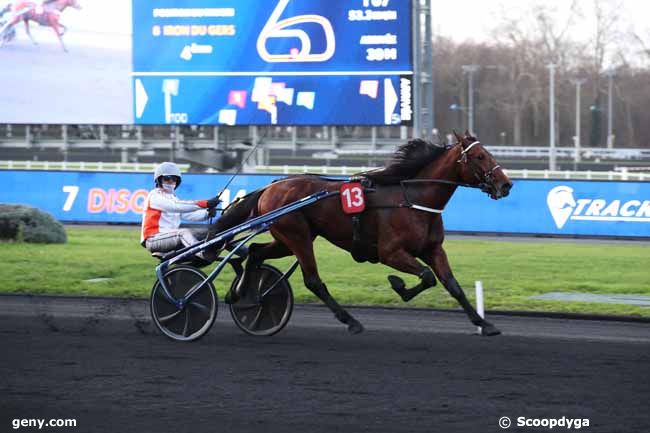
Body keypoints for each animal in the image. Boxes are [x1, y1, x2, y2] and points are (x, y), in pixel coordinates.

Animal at [211, 132, 512, 334]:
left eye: (488, 153)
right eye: (479, 156)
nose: (506, 184)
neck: (412, 198)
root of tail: (271, 186)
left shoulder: (433, 249)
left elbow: (452, 285)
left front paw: (484, 323)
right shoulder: (390, 252)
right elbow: (426, 277)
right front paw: (398, 285)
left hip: (288, 238)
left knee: (255, 253)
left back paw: (245, 296)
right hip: (296, 236)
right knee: (313, 281)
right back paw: (351, 321)